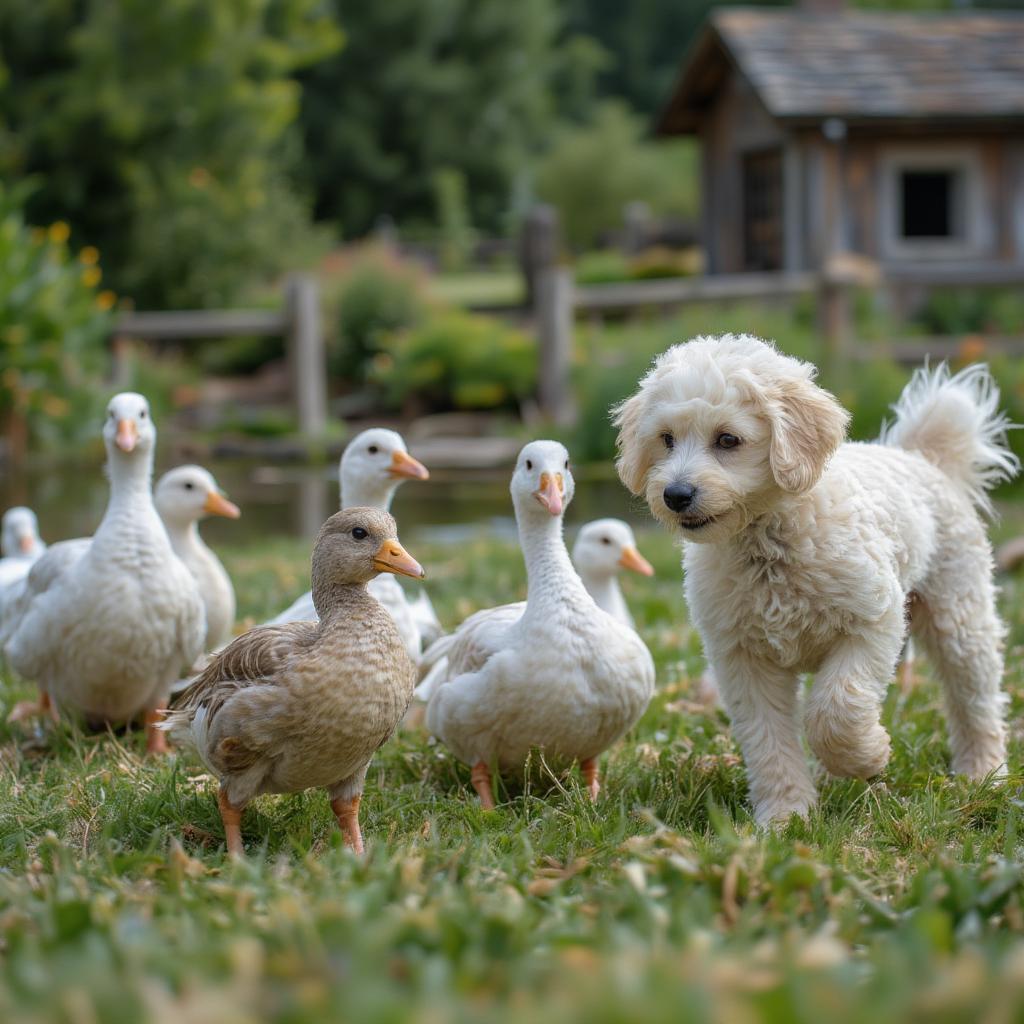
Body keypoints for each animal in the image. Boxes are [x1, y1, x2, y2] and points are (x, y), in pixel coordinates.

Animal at [610, 331, 1019, 827]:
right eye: (666, 439)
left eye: (727, 439)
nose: (675, 494)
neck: (770, 546)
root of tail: (922, 457)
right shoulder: (743, 659)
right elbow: (769, 741)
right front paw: (785, 817)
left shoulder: (874, 624)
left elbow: (836, 710)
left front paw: (868, 756)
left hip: (959, 616)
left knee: (976, 701)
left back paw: (984, 774)